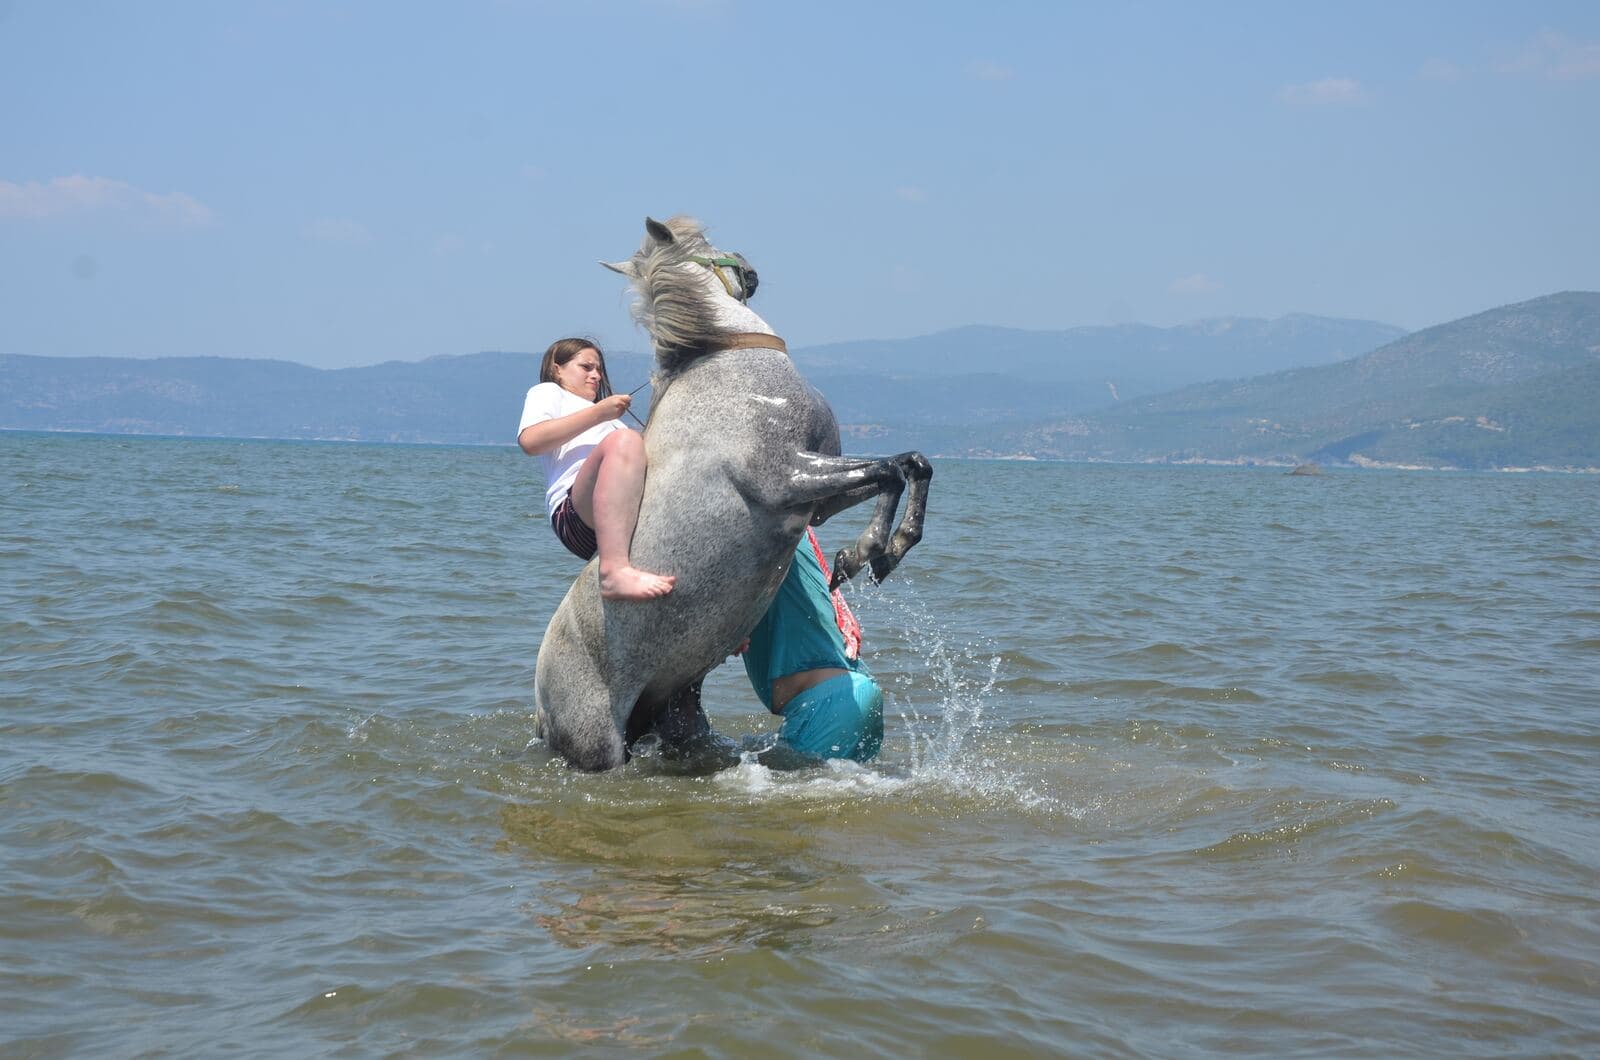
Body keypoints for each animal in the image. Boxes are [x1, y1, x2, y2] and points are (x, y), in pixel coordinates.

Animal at [533, 216, 932, 771]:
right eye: (704, 245)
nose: (749, 267)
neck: (732, 368)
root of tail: (541, 711)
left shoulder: (818, 503)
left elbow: (912, 464)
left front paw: (887, 550)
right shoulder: (785, 478)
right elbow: (890, 472)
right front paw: (864, 553)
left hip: (678, 710)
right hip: (598, 746)